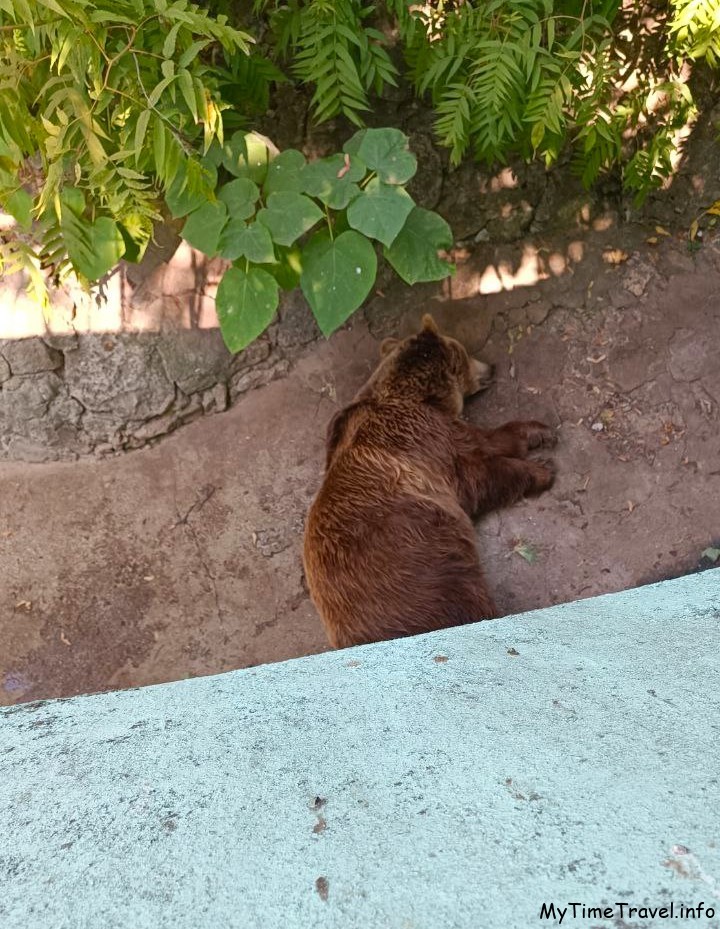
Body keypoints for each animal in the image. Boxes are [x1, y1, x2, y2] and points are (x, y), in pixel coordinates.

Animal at [300, 316, 556, 648]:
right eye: (465, 352)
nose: (491, 366)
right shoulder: (428, 440)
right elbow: (481, 467)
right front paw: (542, 468)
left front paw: (539, 432)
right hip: (430, 579)